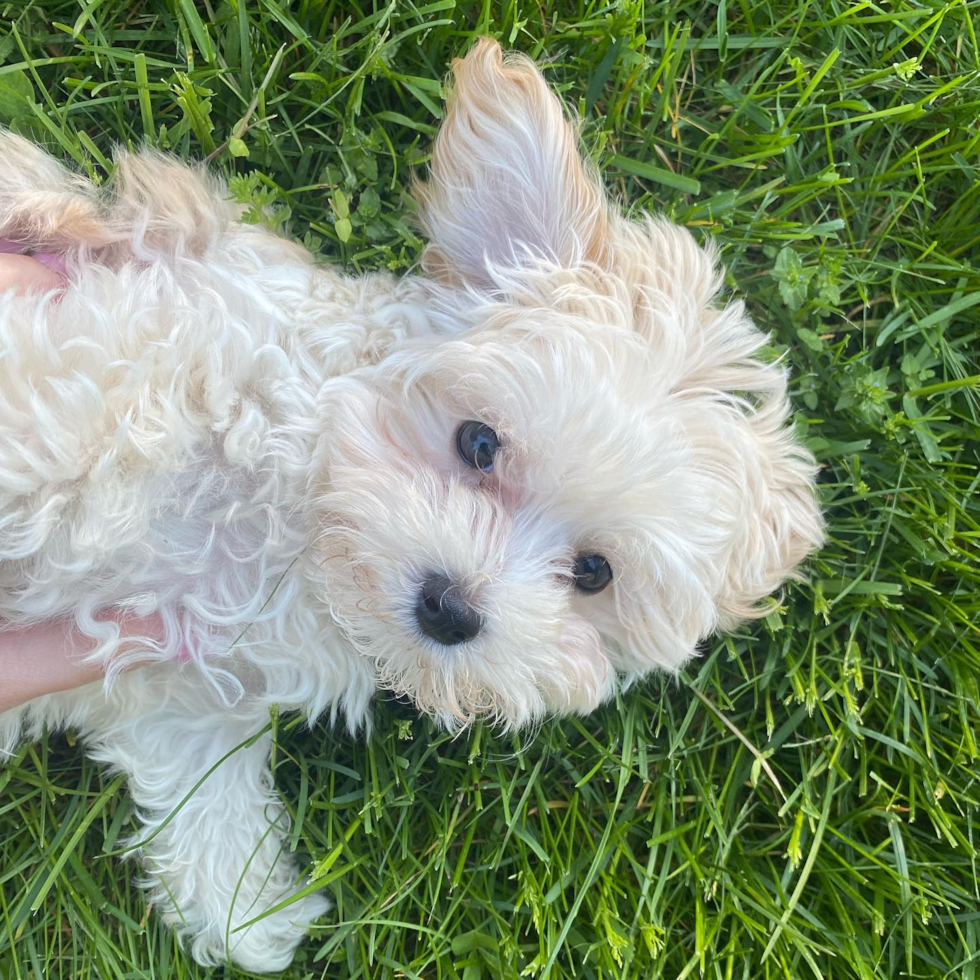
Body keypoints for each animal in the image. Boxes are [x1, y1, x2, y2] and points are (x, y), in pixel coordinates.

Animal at [0, 40, 824, 972]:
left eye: (594, 573)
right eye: (478, 443)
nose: (451, 609)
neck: (296, 534)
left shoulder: (180, 690)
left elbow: (201, 783)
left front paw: (248, 904)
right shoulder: (143, 334)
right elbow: (70, 407)